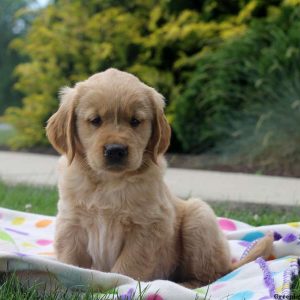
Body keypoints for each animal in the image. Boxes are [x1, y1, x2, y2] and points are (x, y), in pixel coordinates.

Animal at [45, 68, 274, 288]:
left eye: (135, 121)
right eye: (95, 121)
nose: (115, 150)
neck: (110, 182)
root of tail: (231, 263)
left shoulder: (146, 227)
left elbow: (127, 268)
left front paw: (117, 287)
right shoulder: (71, 223)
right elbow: (71, 262)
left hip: (199, 218)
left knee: (211, 276)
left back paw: (182, 284)